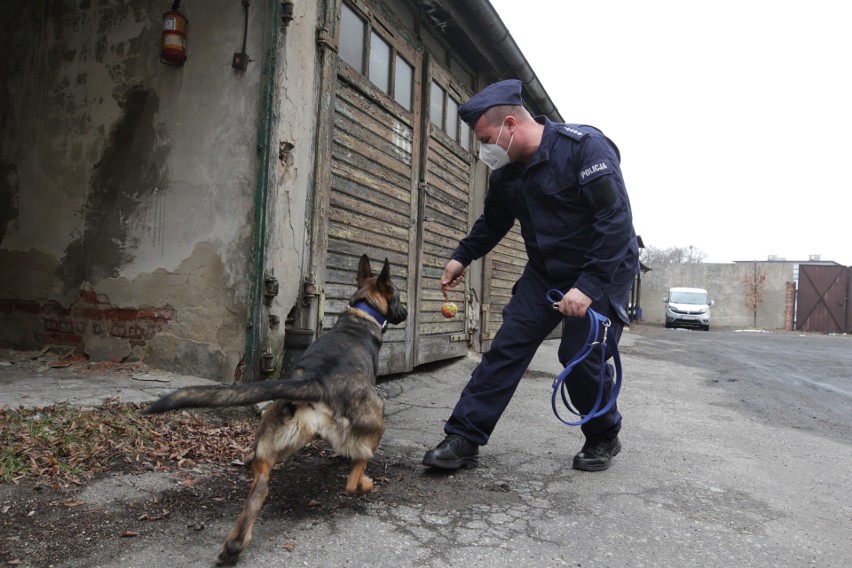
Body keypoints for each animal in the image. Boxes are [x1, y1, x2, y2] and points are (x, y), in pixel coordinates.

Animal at [145, 256, 408, 564]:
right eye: (398, 296)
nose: (405, 312)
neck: (362, 311)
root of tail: (315, 381)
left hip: (272, 444)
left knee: (260, 485)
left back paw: (235, 545)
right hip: (376, 416)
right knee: (353, 478)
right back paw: (365, 483)